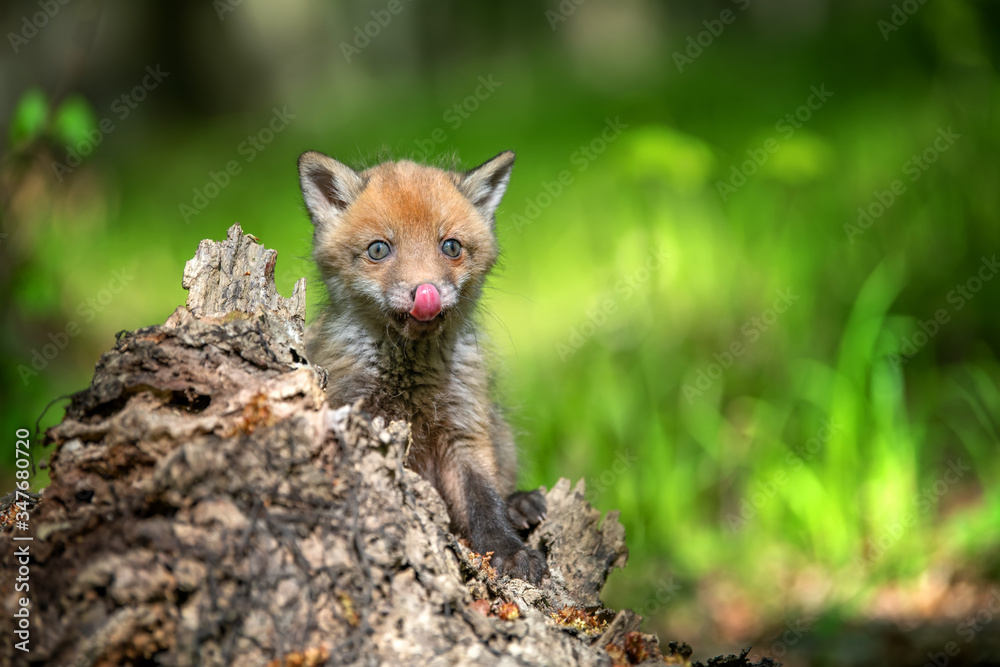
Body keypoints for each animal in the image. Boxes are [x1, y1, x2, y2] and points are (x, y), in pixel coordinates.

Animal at [298, 151, 548, 584]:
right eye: (378, 250)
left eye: (451, 246)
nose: (425, 292)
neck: (409, 379)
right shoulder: (355, 413)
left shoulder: (464, 429)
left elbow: (483, 498)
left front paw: (508, 550)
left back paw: (520, 503)